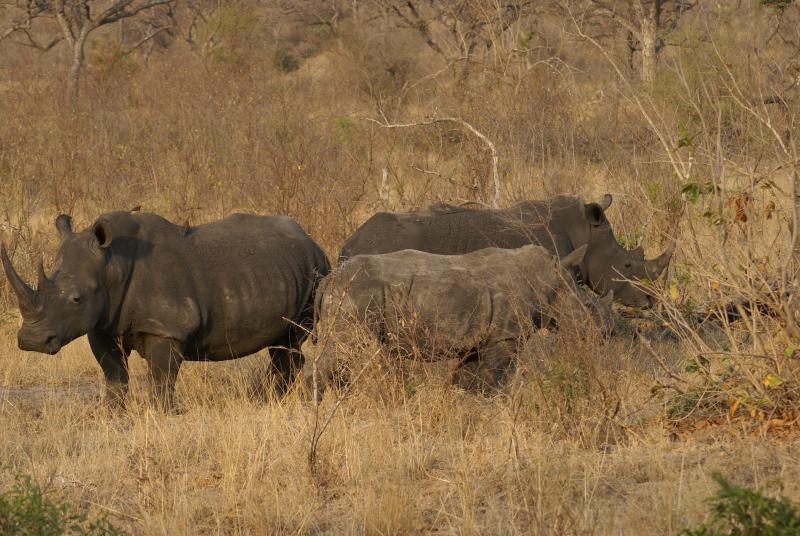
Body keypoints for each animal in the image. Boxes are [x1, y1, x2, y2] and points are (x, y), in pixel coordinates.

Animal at [1, 211, 330, 408]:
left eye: (76, 300)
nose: (31, 341)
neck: (112, 266)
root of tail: (312, 241)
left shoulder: (166, 328)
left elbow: (161, 378)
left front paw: (162, 412)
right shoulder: (102, 324)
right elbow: (114, 372)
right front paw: (113, 411)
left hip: (316, 274)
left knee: (291, 340)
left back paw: (266, 399)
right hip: (286, 270)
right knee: (282, 343)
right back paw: (264, 399)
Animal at [302, 244, 612, 398]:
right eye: (588, 309)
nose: (605, 335)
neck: (551, 281)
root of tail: (329, 280)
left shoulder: (478, 337)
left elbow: (467, 379)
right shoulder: (505, 336)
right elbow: (493, 378)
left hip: (354, 295)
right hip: (356, 295)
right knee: (340, 349)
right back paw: (313, 405)